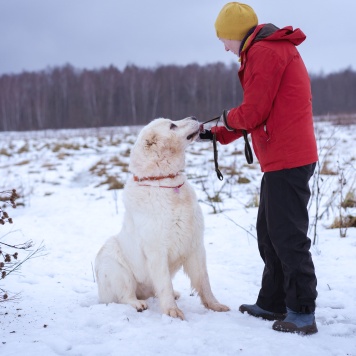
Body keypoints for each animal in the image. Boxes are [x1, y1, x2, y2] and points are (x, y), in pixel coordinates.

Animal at [94, 117, 229, 320]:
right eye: (172, 125)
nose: (194, 118)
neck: (165, 180)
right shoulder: (157, 251)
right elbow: (165, 284)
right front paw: (172, 311)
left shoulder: (195, 246)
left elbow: (204, 281)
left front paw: (215, 305)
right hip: (115, 266)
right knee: (126, 295)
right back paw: (138, 304)